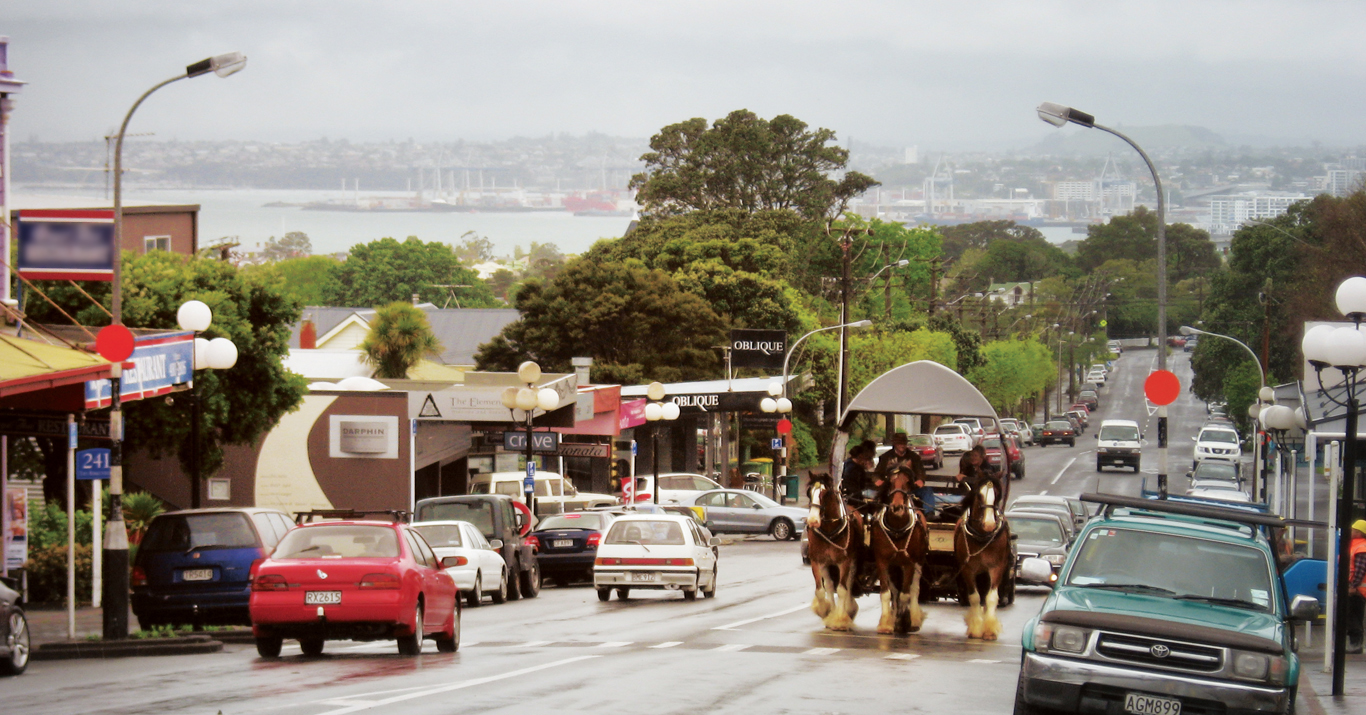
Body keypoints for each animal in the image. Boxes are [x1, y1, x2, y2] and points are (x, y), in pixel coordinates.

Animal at [797, 475, 863, 631]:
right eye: (809, 492)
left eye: (825, 494)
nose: (812, 521)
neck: (829, 532)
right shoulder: (818, 561)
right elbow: (821, 590)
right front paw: (825, 611)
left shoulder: (844, 562)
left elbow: (842, 590)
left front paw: (839, 620)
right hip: (828, 565)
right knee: (829, 585)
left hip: (853, 560)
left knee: (848, 583)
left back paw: (848, 610)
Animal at [874, 459, 928, 631]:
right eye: (890, 481)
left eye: (908, 482)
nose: (897, 507)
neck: (897, 529)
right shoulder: (882, 561)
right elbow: (886, 593)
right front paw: (886, 623)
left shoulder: (909, 563)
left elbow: (906, 593)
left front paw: (903, 621)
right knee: (895, 591)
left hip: (919, 561)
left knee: (914, 589)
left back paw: (914, 619)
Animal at [950, 473, 1016, 639]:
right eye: (979, 495)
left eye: (997, 495)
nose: (989, 524)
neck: (982, 536)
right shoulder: (968, 569)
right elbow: (974, 597)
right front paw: (975, 628)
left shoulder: (996, 568)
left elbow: (991, 598)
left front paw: (990, 630)